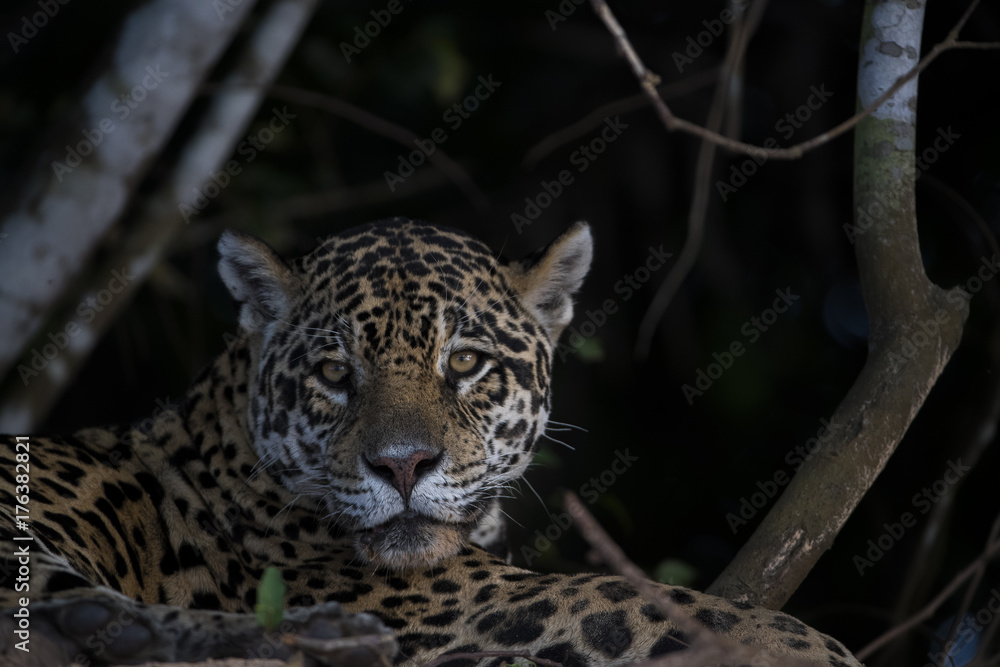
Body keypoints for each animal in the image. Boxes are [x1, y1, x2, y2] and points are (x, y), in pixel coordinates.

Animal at [0, 218, 863, 666]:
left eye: (467, 362)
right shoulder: (439, 596)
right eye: (333, 371)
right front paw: (813, 650)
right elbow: (632, 597)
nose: (403, 464)